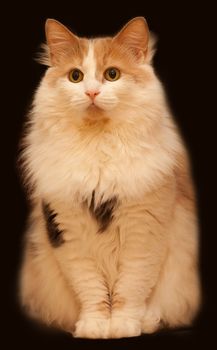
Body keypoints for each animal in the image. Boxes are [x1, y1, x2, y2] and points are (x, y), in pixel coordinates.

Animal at [18, 17, 200, 340]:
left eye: (112, 74)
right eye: (76, 77)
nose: (91, 92)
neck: (98, 146)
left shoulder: (143, 230)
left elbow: (131, 287)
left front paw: (124, 325)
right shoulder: (68, 232)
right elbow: (91, 290)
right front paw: (95, 326)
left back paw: (147, 321)